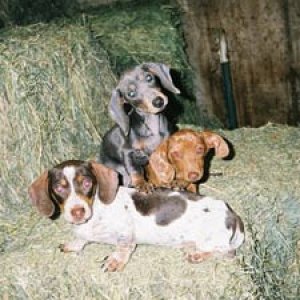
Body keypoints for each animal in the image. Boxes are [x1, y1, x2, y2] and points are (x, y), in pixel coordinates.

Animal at [28, 159, 244, 272]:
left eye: (87, 183)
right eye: (59, 187)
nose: (77, 211)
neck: (96, 210)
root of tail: (232, 215)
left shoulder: (125, 235)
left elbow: (123, 247)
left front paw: (114, 261)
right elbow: (81, 238)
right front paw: (73, 244)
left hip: (213, 242)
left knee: (226, 252)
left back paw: (197, 255)